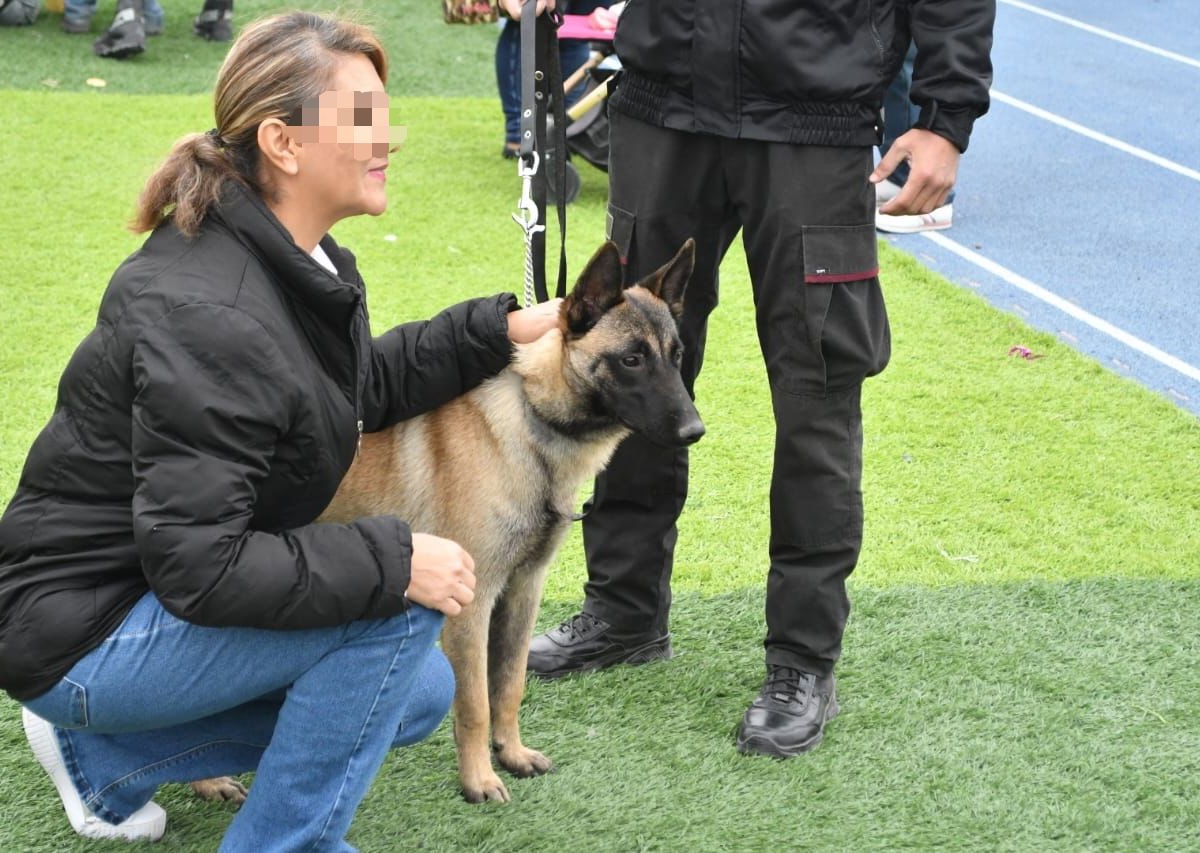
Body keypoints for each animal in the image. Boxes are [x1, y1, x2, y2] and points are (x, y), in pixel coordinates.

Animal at [319, 236, 705, 806]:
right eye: (632, 360)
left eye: (677, 357)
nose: (694, 431)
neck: (532, 420)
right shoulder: (472, 603)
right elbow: (475, 702)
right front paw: (478, 778)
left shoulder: (523, 590)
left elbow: (509, 684)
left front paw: (512, 753)